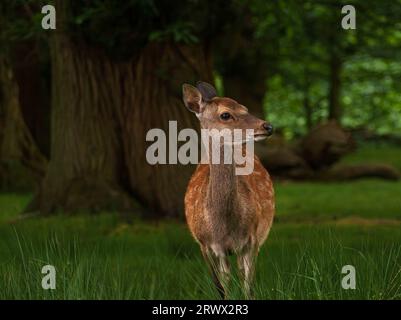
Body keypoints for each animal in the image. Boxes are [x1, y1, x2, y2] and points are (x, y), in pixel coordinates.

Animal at [182, 81, 274, 298]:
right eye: (225, 114)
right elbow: (221, 287)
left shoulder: (252, 239)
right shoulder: (205, 244)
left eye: (245, 108)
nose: (268, 126)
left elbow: (248, 287)